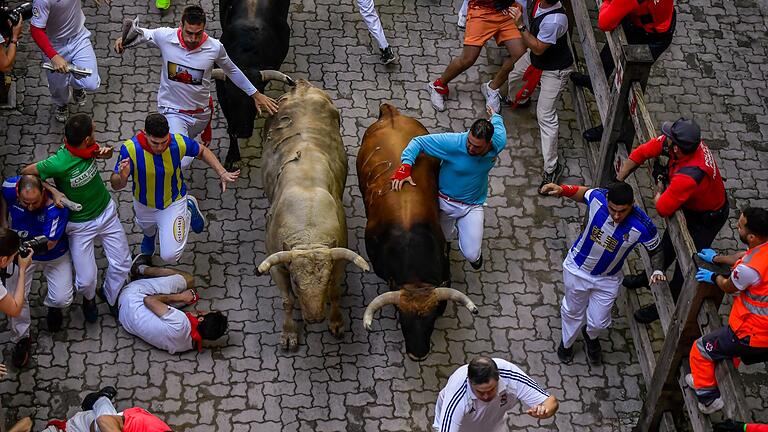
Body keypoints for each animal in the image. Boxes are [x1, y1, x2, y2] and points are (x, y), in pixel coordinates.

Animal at [255, 80, 368, 352]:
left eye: (324, 281)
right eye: (296, 282)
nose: (316, 317)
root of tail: (302, 86)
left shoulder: (338, 261)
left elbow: (336, 292)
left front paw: (336, 321)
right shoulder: (277, 266)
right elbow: (287, 300)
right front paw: (289, 332)